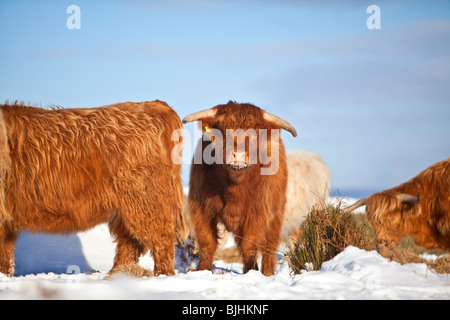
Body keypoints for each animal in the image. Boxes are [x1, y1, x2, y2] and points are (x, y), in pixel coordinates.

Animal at [0, 101, 183, 276]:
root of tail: (153, 104)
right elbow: (6, 255)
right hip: (126, 208)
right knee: (128, 241)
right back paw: (119, 274)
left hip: (144, 199)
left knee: (161, 236)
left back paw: (161, 275)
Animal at [181, 100, 298, 276]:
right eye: (222, 131)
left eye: (255, 134)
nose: (239, 155)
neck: (234, 188)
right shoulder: (200, 208)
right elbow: (207, 241)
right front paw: (202, 270)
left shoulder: (258, 212)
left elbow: (249, 244)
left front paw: (251, 272)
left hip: (276, 213)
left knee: (269, 246)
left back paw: (267, 272)